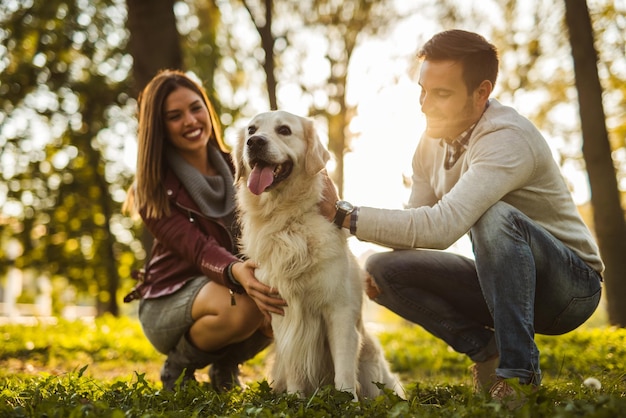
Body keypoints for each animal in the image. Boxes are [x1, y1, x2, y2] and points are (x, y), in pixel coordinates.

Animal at [232, 110, 402, 398]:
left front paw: (347, 402)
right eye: (252, 129)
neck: (287, 220)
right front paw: (295, 399)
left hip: (372, 365)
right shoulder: (283, 311)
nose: (254, 142)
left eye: (284, 130)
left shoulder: (339, 310)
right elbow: (295, 367)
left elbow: (343, 371)